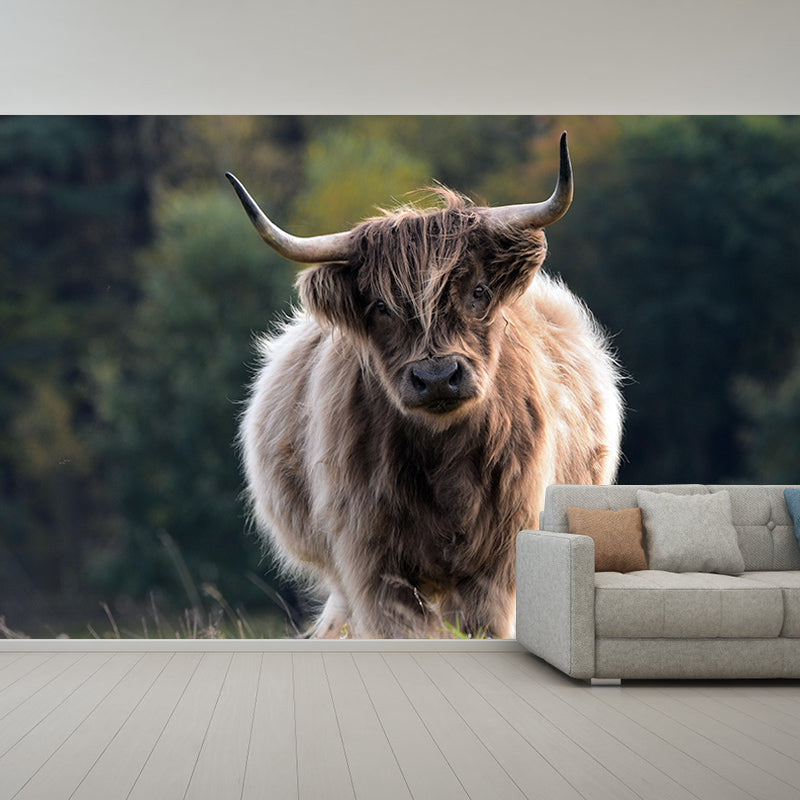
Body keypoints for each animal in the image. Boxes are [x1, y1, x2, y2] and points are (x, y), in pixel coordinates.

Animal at [227, 133, 623, 638]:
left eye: (479, 291)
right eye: (380, 306)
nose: (436, 377)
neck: (444, 461)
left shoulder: (496, 565)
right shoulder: (371, 563)